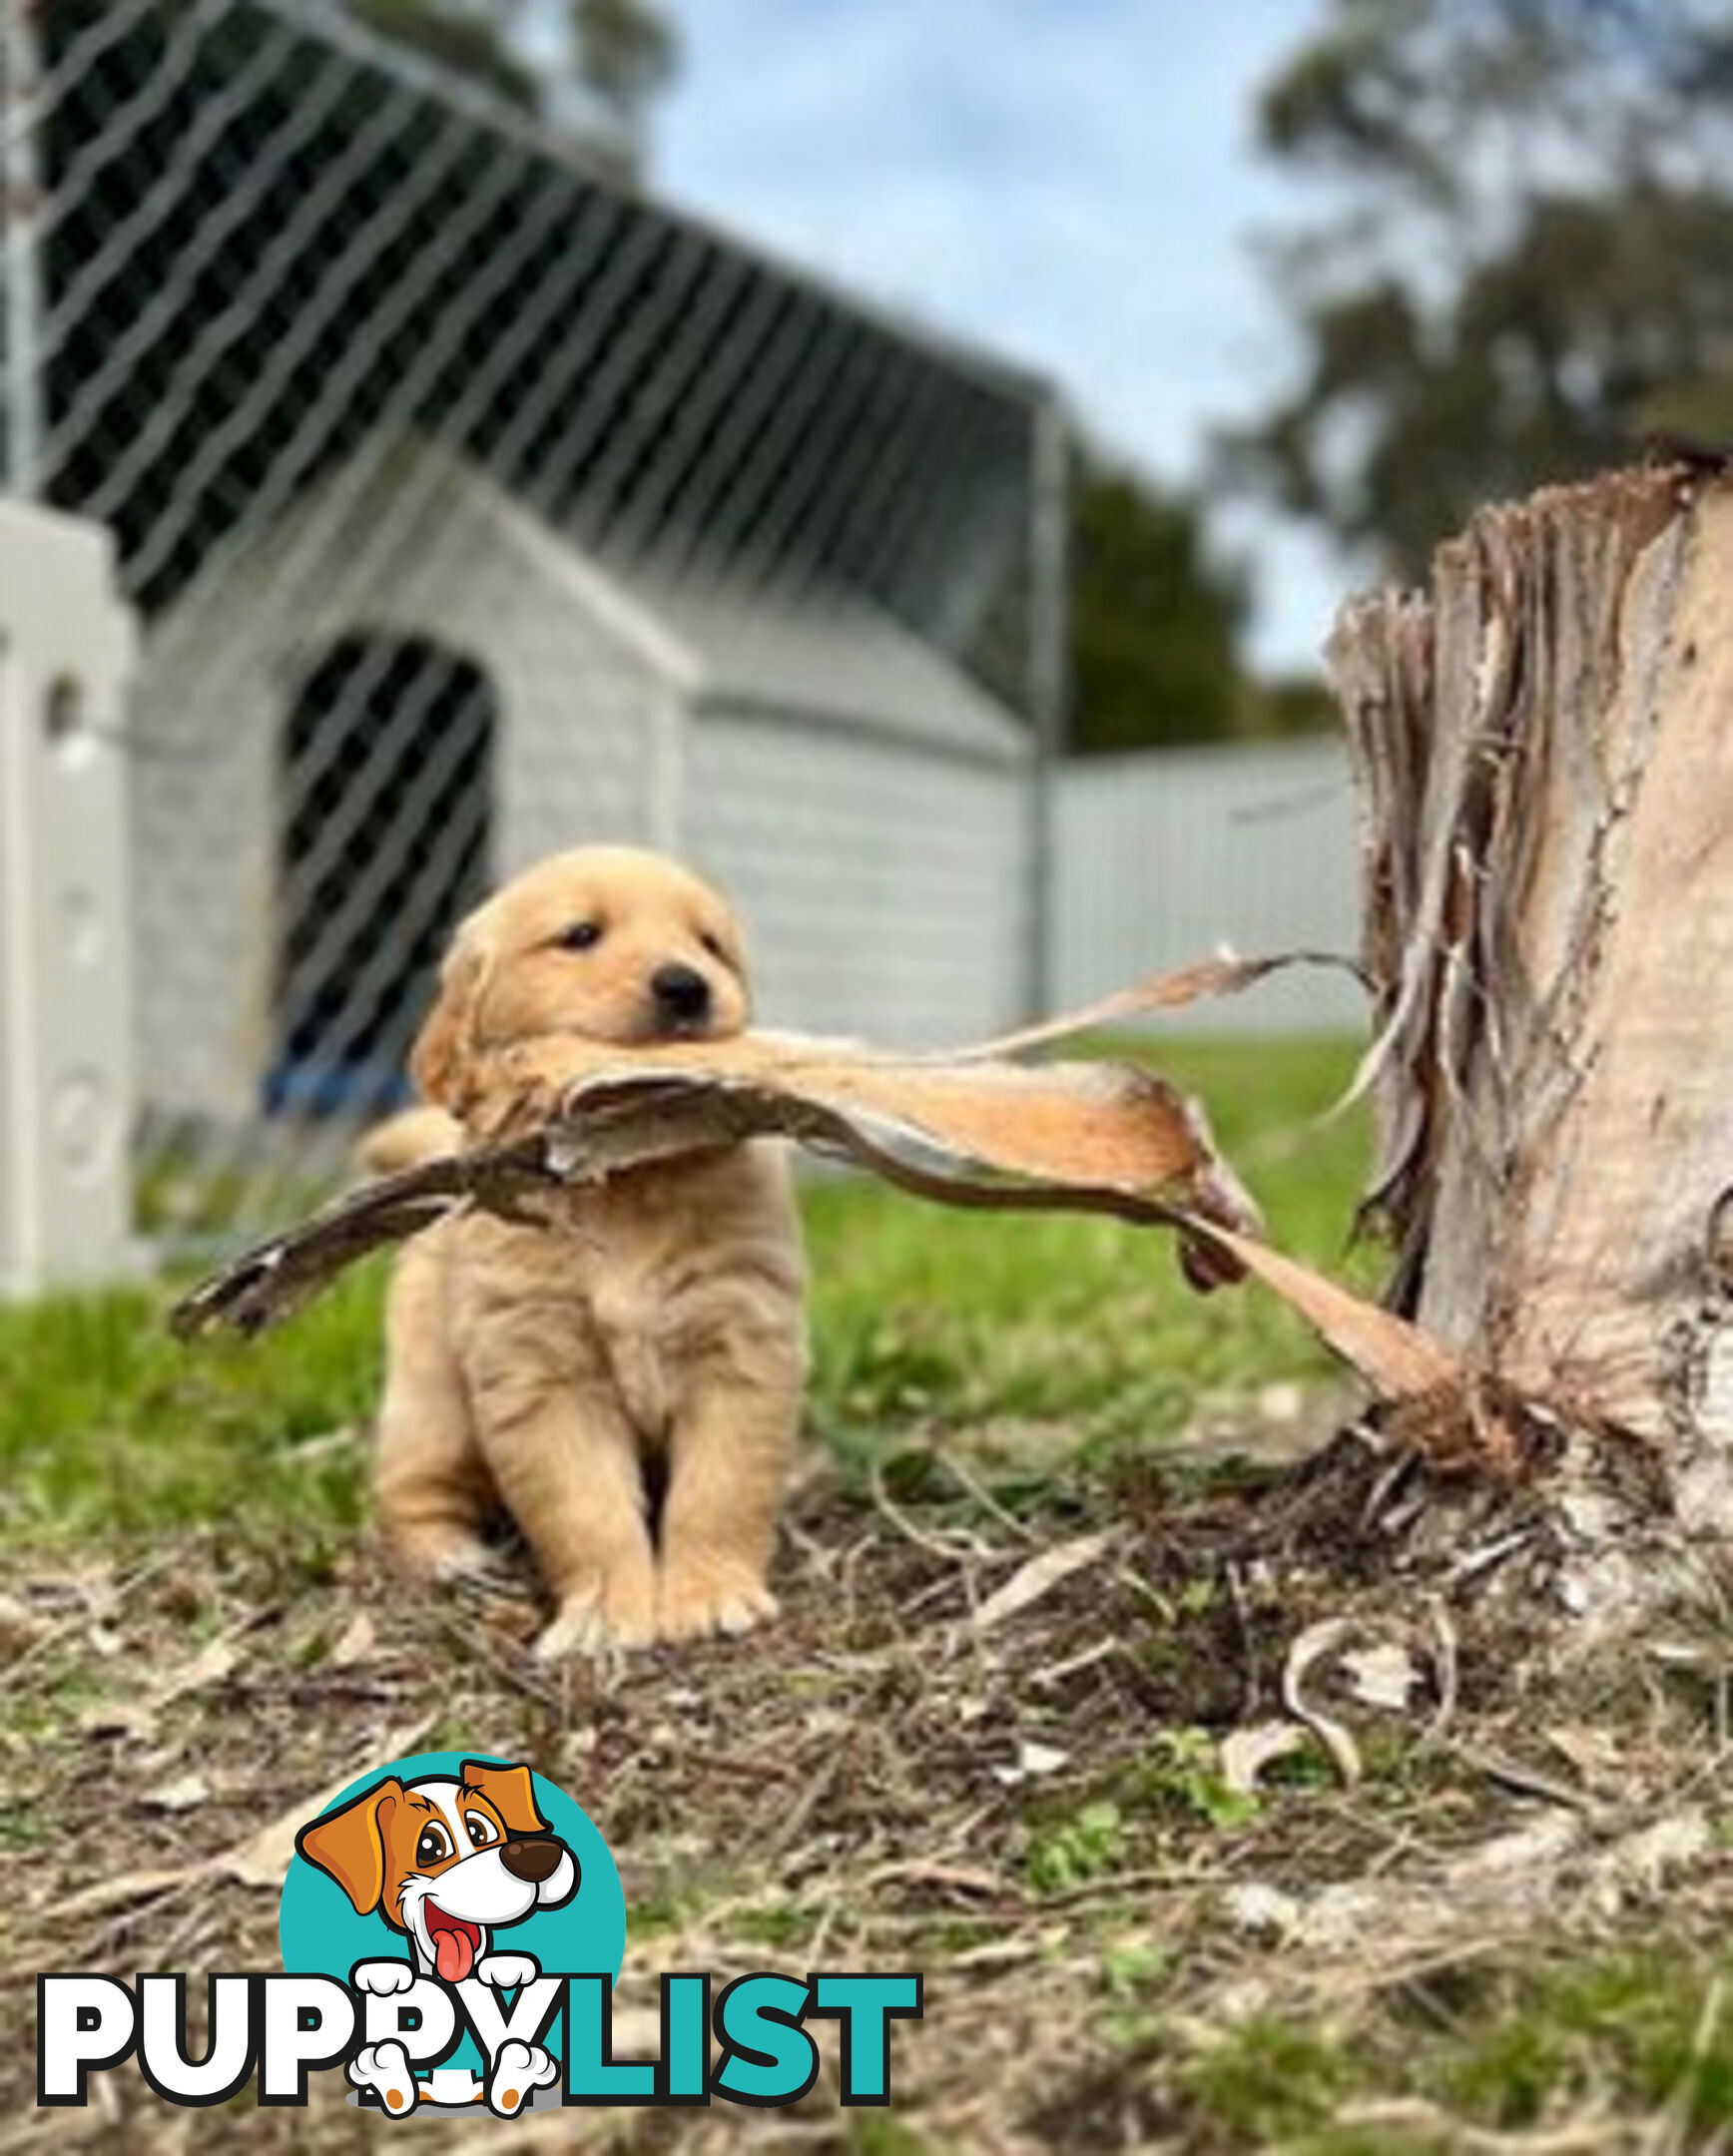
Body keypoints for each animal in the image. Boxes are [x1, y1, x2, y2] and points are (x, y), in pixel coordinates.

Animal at [372, 849, 806, 1655]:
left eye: (709, 944)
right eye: (580, 935)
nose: (687, 986)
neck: (626, 1171)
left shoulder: (740, 1343)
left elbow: (721, 1487)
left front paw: (710, 1593)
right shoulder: (539, 1374)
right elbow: (586, 1509)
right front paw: (604, 1615)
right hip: (431, 1399)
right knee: (411, 1490)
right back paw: (451, 1558)